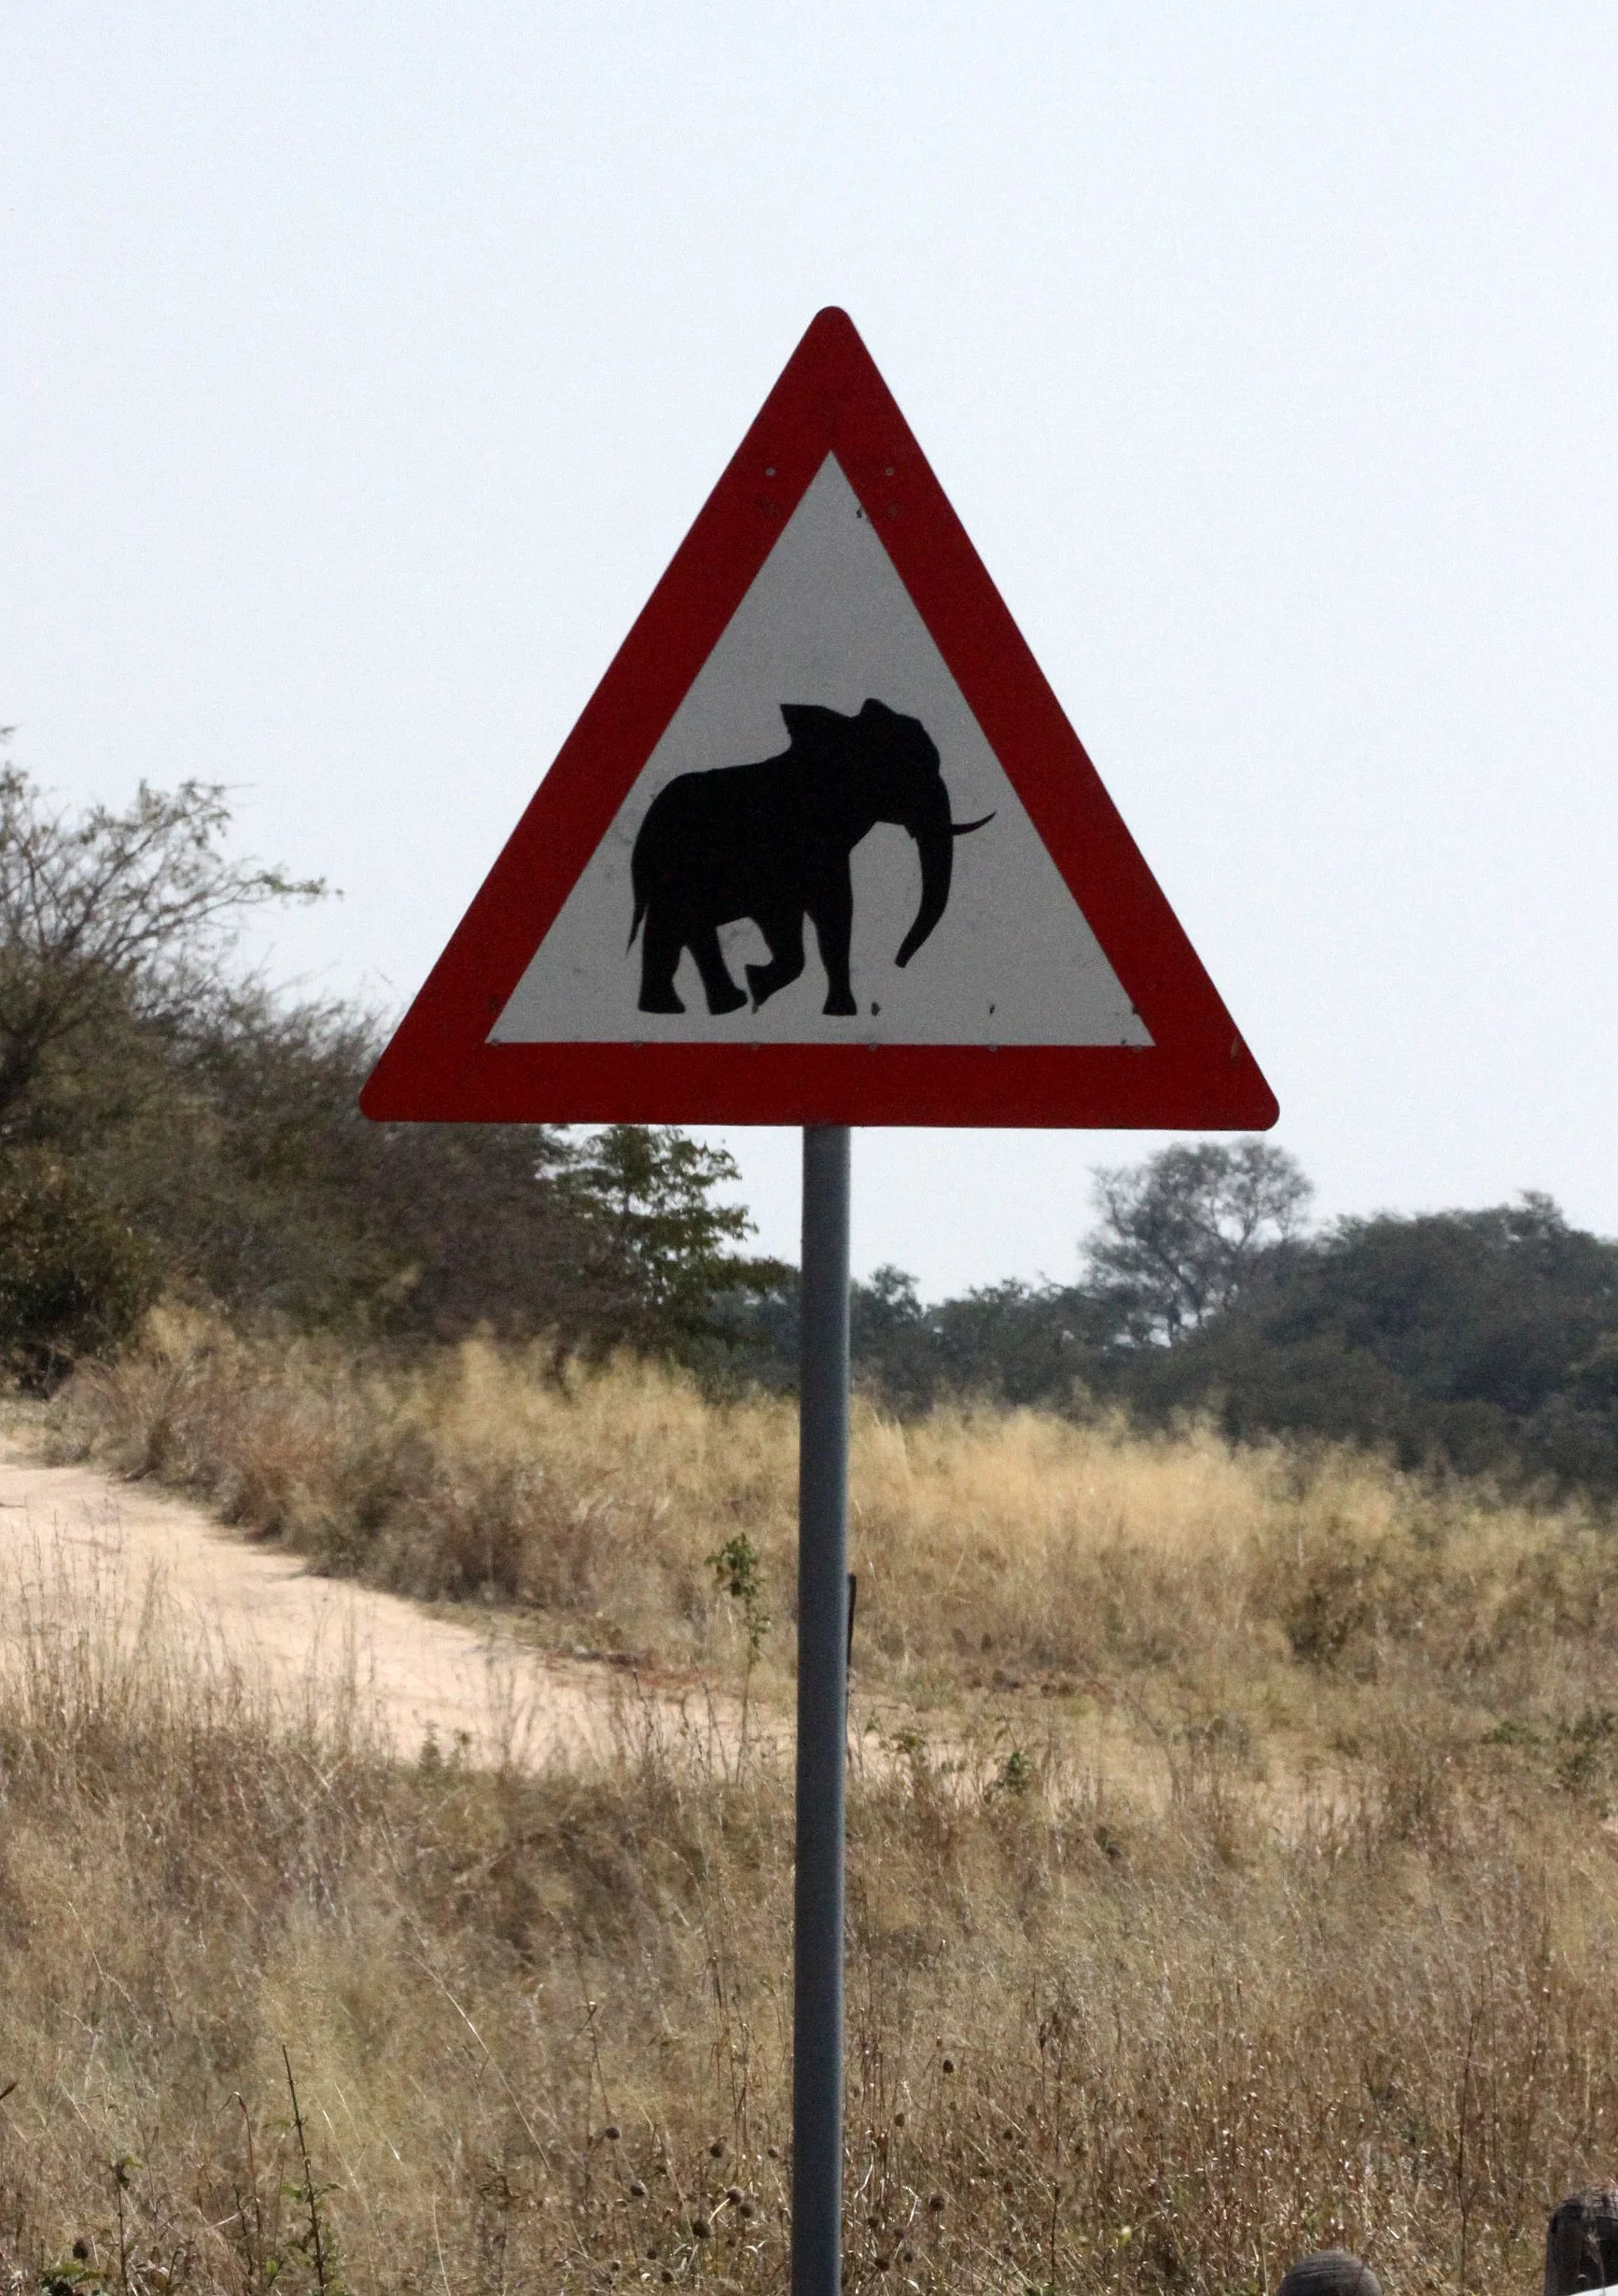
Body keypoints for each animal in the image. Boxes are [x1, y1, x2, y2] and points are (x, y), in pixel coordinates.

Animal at [627, 697, 992, 1017]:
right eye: (907, 772)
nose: (898, 963)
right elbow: (790, 921)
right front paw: (758, 986)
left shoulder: (828, 856)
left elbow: (834, 916)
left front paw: (836, 1012)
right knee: (685, 928)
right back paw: (720, 1005)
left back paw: (680, 1008)